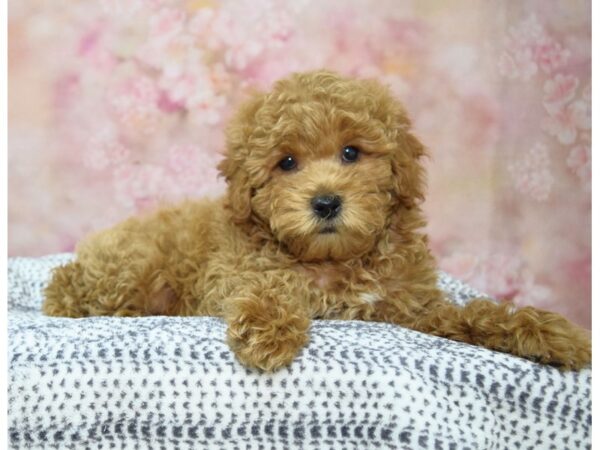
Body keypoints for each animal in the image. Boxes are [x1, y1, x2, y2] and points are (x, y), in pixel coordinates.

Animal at [43, 70, 592, 370]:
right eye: (287, 162)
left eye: (351, 152)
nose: (326, 202)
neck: (332, 261)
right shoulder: (232, 273)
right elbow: (267, 285)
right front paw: (268, 328)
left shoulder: (410, 310)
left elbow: (474, 313)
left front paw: (546, 333)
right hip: (133, 269)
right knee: (68, 284)